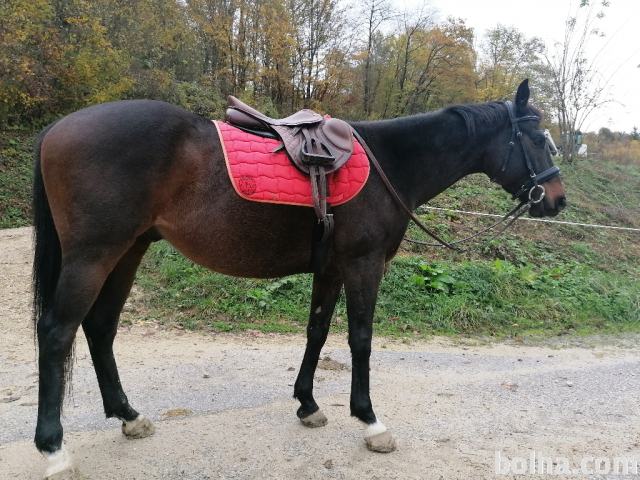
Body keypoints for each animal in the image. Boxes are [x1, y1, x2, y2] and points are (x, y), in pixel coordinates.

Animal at [31, 79, 564, 476]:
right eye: (540, 140)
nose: (557, 199)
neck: (389, 164)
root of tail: (58, 126)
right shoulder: (364, 264)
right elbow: (360, 338)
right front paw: (370, 421)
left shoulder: (330, 268)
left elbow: (317, 331)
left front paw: (307, 404)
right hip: (94, 255)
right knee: (57, 333)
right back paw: (54, 449)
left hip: (129, 251)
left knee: (100, 328)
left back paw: (128, 416)